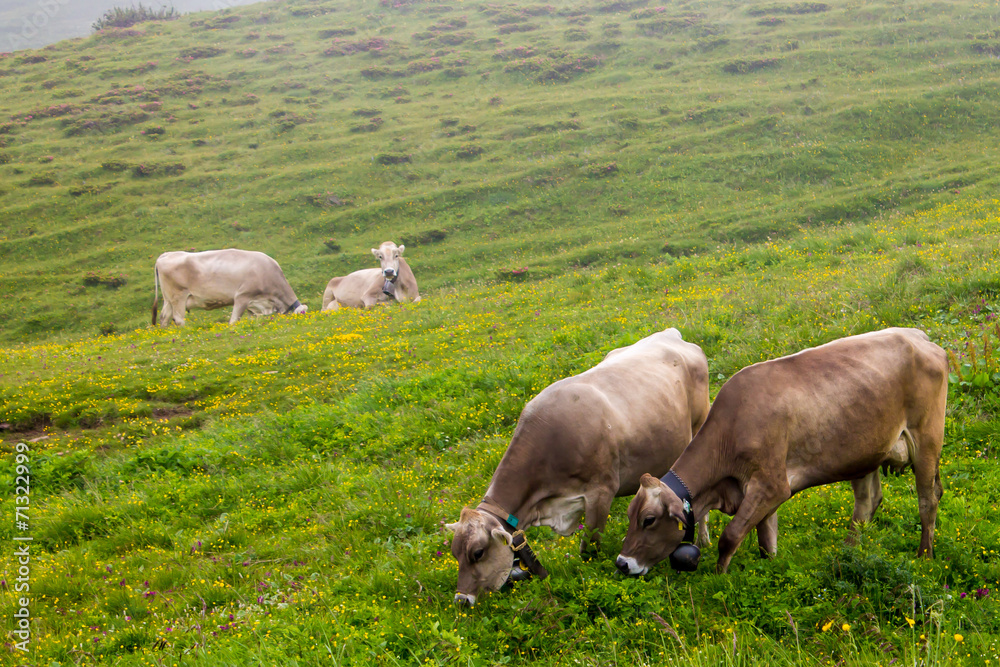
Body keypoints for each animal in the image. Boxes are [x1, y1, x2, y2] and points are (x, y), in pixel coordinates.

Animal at [152, 249, 308, 326]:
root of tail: (167, 254)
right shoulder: (242, 296)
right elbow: (233, 321)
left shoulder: (253, 305)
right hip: (179, 297)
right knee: (178, 319)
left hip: (169, 299)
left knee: (164, 317)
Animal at [445, 327, 711, 606]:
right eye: (454, 552)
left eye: (477, 552)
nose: (461, 599)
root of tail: (670, 333)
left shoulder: (601, 492)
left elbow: (590, 549)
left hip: (699, 427)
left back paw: (703, 539)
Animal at [616, 327, 948, 578]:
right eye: (629, 514)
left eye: (648, 520)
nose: (622, 563)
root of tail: (918, 336)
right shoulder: (761, 492)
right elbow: (766, 540)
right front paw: (771, 570)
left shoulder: (772, 485)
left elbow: (730, 537)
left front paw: (719, 579)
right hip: (864, 453)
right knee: (867, 502)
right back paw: (848, 552)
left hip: (927, 439)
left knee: (927, 500)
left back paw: (924, 557)